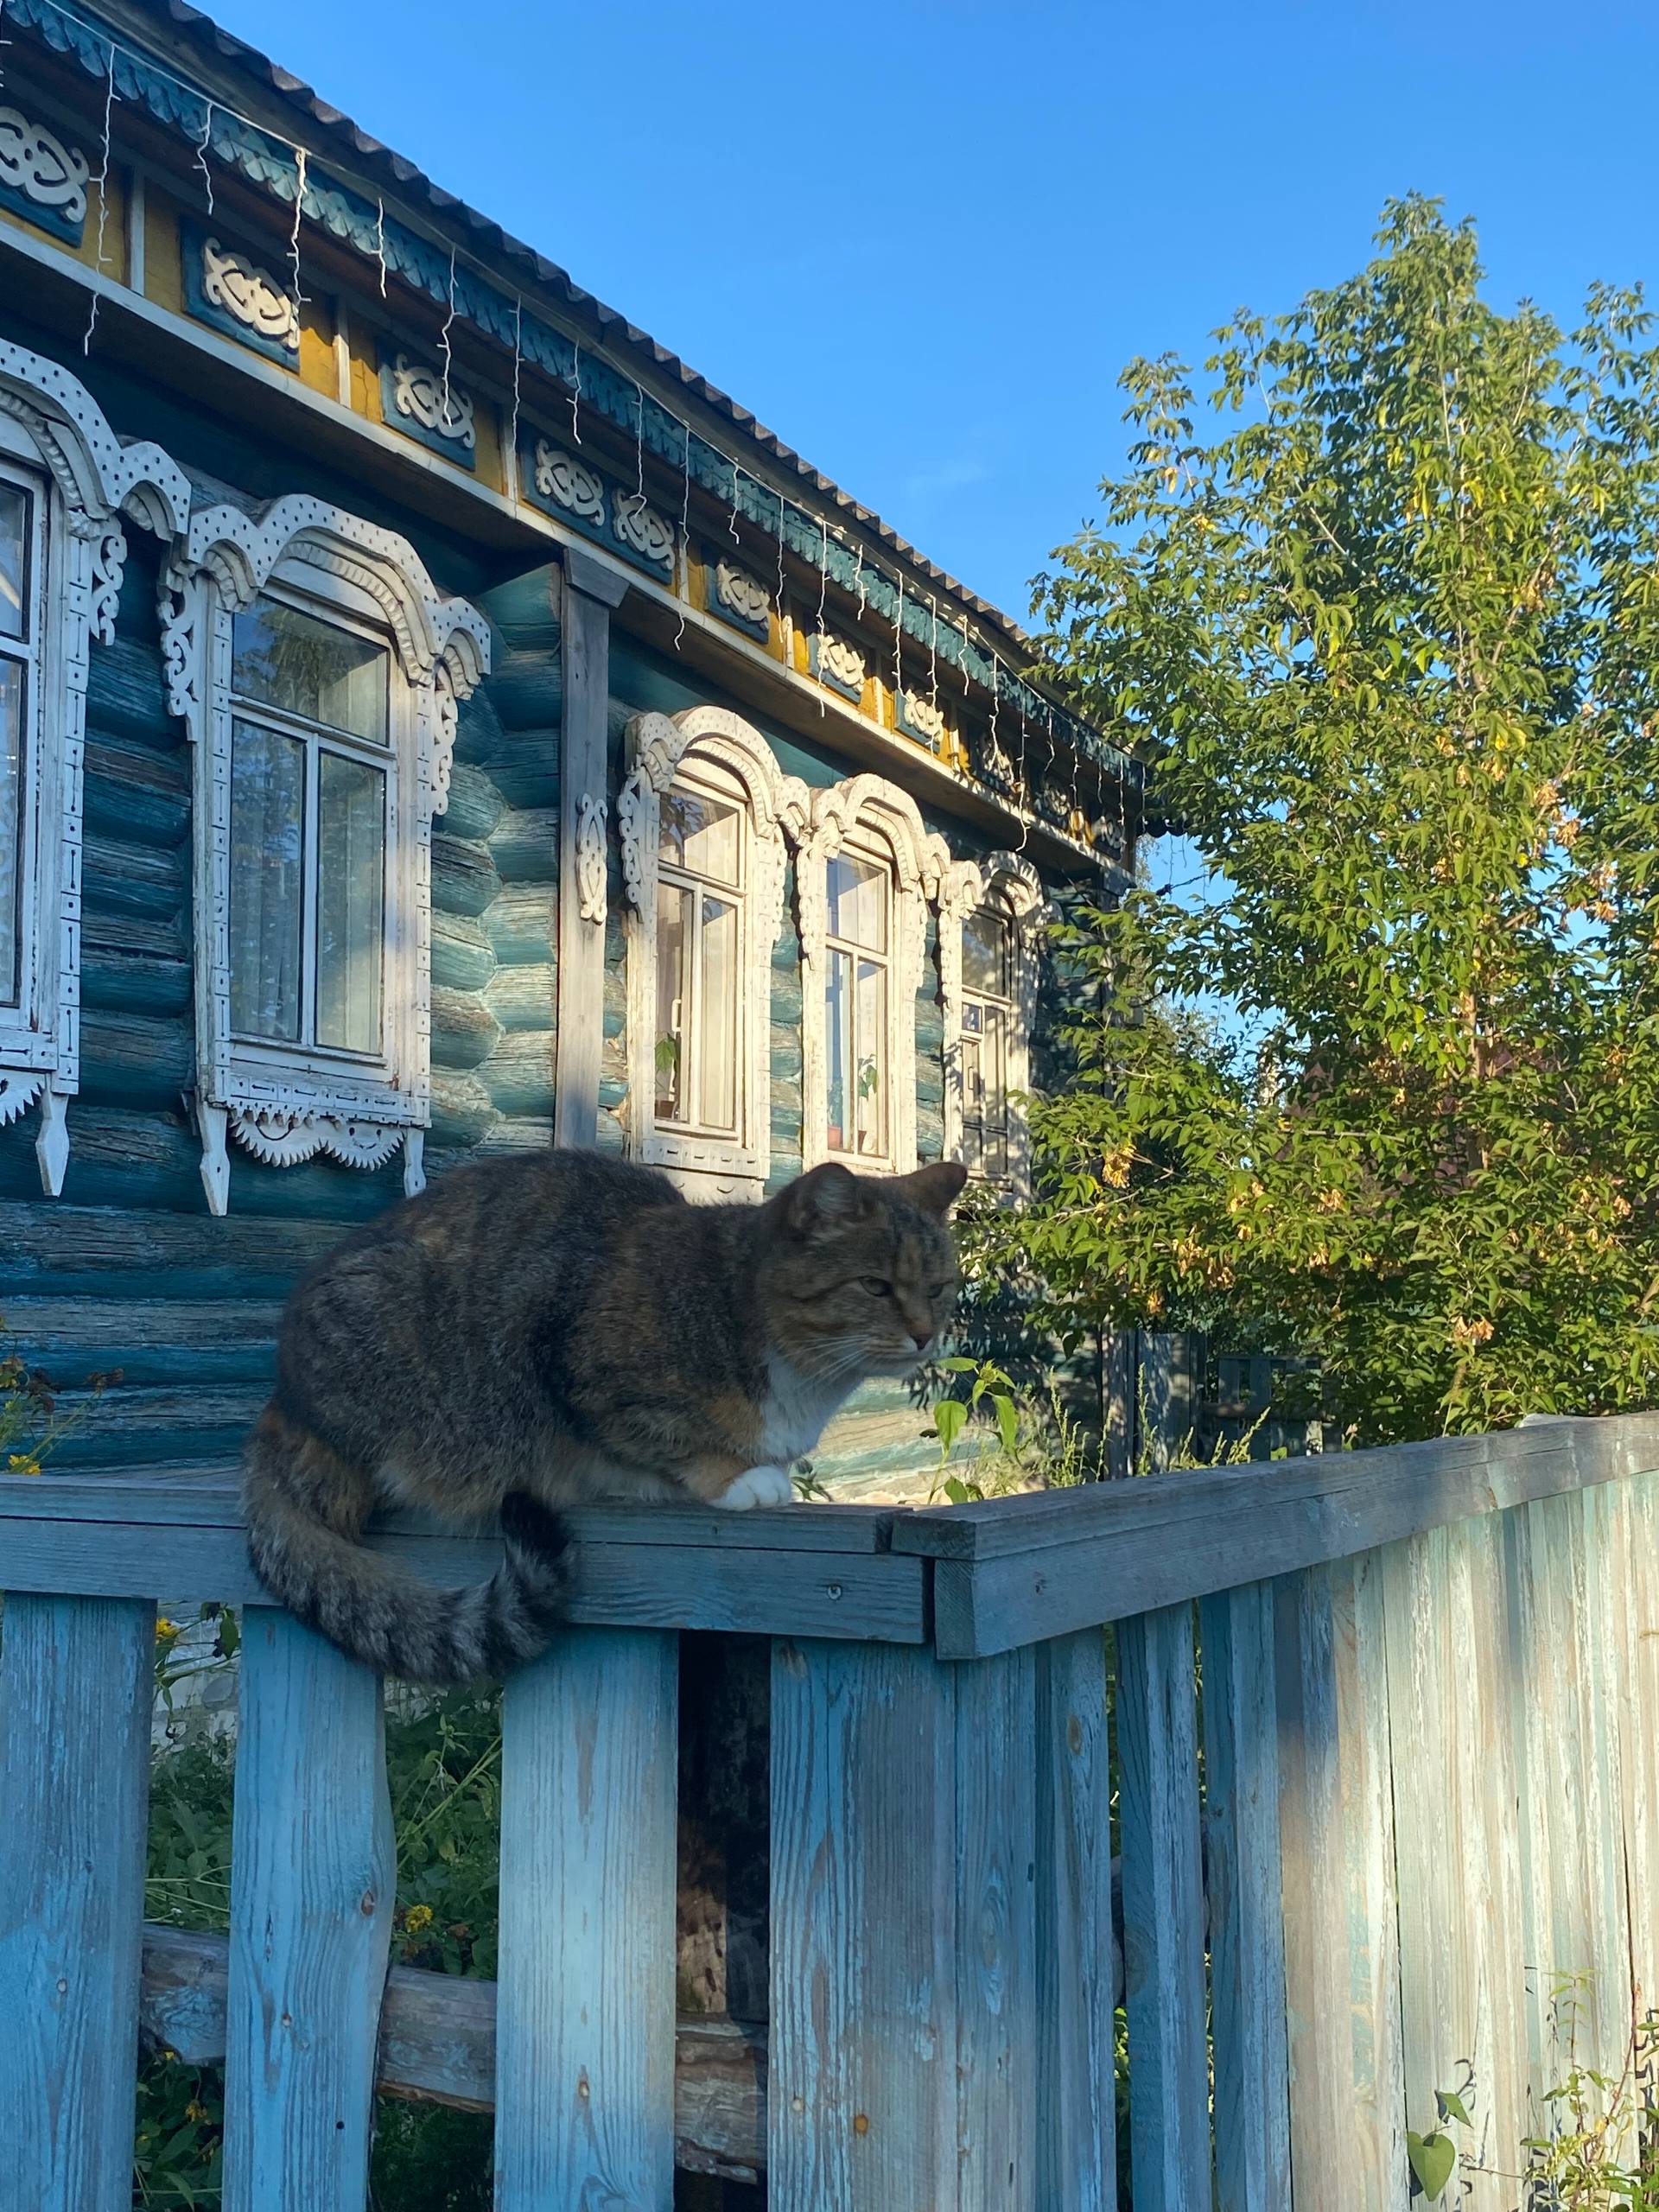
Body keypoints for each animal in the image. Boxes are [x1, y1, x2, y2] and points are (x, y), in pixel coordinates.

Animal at [243, 1150, 966, 1683]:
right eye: (875, 1286)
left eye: (939, 1288)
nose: (925, 1336)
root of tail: (280, 1404)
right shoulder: (576, 1361)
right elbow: (663, 1437)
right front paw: (737, 1477)